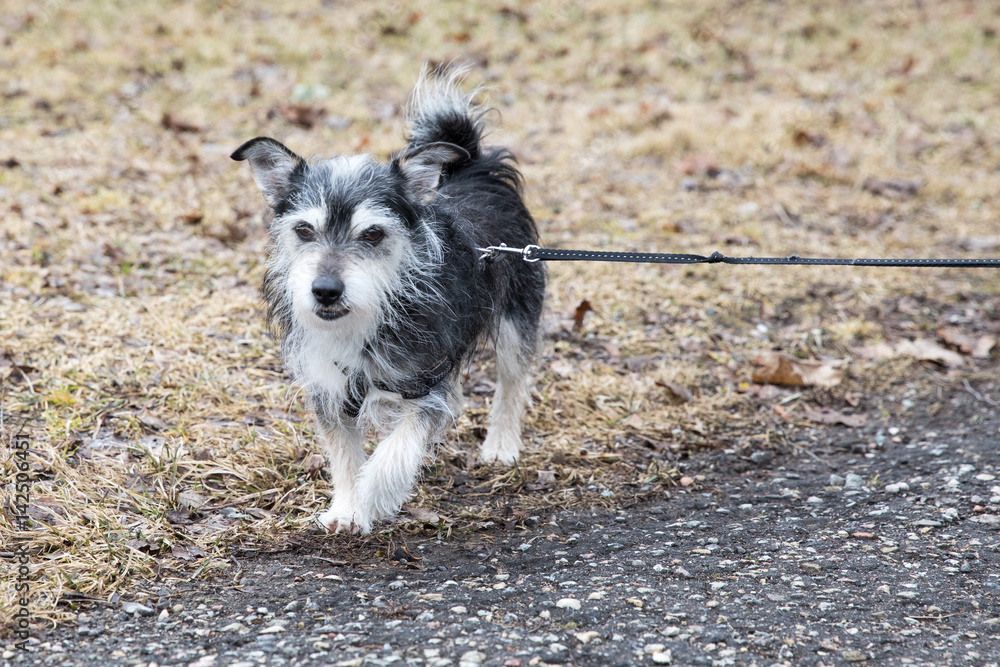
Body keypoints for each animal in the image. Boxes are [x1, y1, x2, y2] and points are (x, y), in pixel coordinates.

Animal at [231, 69, 548, 536]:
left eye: (373, 234)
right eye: (304, 230)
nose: (325, 290)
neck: (363, 321)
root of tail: (473, 168)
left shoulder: (426, 384)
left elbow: (397, 449)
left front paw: (376, 496)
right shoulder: (329, 388)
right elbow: (344, 455)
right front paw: (347, 508)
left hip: (515, 317)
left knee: (512, 381)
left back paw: (501, 445)